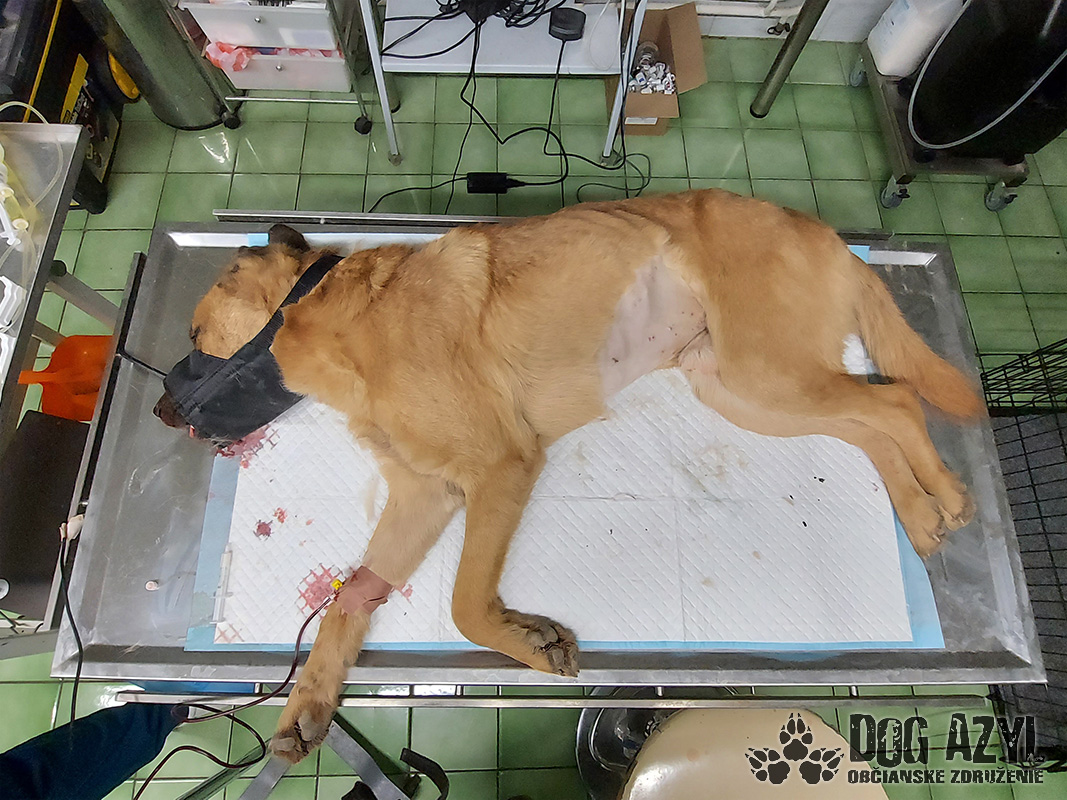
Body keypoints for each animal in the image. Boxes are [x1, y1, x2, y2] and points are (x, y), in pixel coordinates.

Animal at [155, 189, 981, 762]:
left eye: (194, 333)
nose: (160, 407)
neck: (324, 315)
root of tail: (827, 234)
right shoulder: (423, 495)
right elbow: (348, 603)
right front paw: (308, 704)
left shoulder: (500, 465)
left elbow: (464, 604)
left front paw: (527, 640)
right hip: (746, 390)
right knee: (865, 423)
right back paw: (918, 515)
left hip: (766, 372)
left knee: (896, 398)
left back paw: (944, 495)